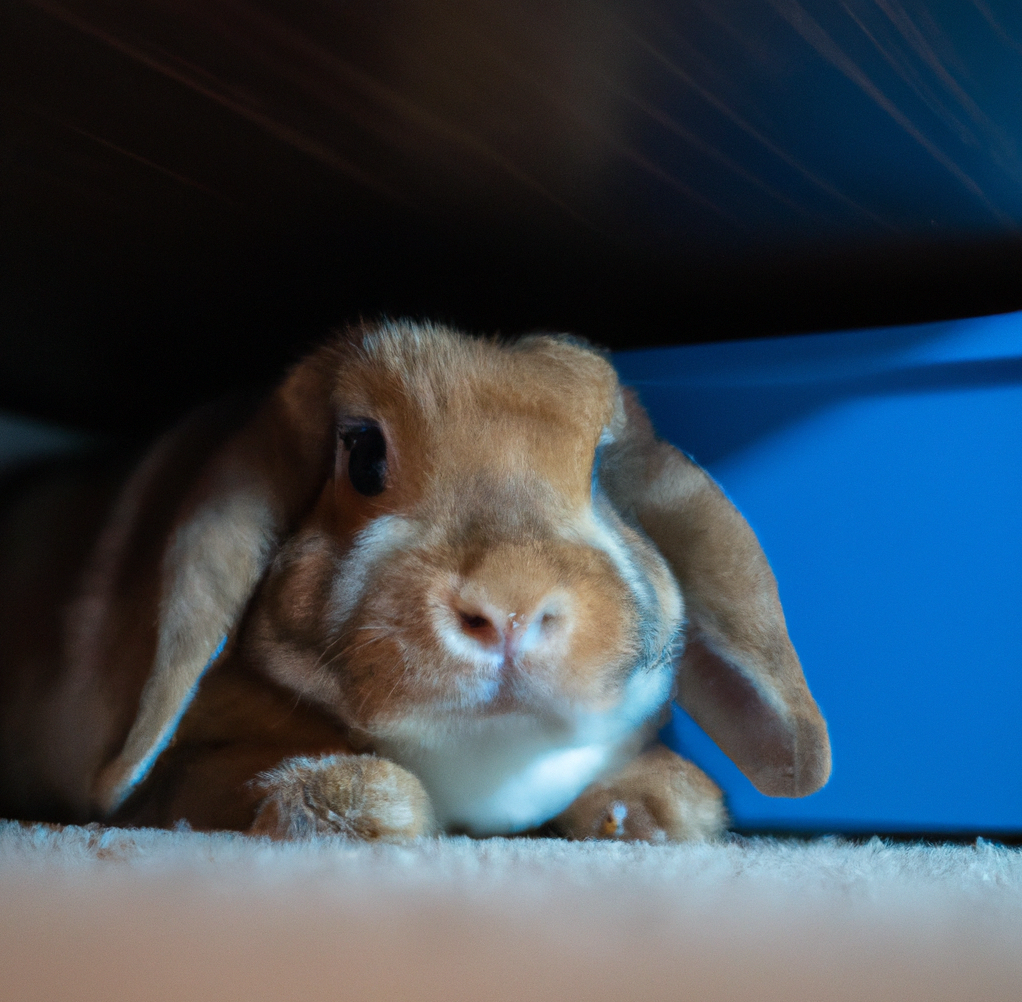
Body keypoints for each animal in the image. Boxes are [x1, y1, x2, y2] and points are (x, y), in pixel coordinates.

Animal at [0, 319, 829, 838]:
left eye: (600, 472)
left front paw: (655, 806)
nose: (510, 608)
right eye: (363, 455)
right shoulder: (182, 774)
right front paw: (363, 806)